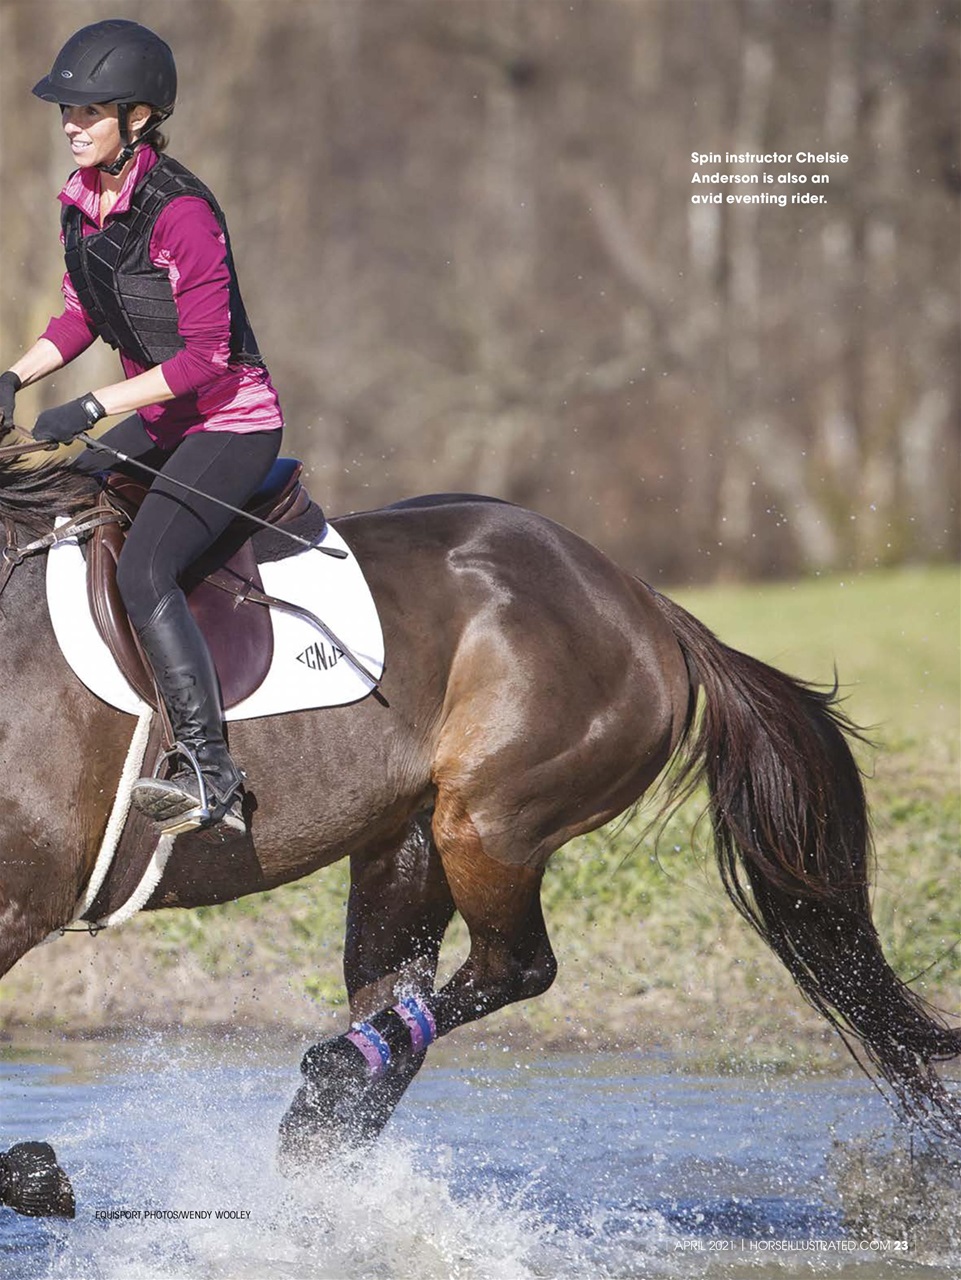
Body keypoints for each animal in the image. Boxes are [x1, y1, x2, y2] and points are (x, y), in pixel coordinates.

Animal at [0, 444, 958, 1218]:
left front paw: (35, 1174)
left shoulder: (19, 906)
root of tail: (642, 601)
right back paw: (325, 1132)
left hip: (490, 821)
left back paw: (335, 1077)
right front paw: (35, 1173)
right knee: (401, 1006)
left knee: (515, 969)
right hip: (407, 844)